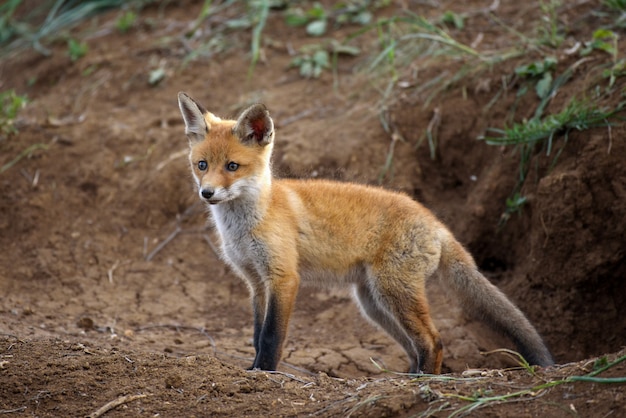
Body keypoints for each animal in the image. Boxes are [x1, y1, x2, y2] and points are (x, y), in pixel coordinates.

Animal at [176, 93, 552, 374]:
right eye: (202, 165)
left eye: (233, 166)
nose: (207, 193)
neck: (250, 221)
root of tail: (435, 221)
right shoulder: (255, 282)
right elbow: (256, 334)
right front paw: (254, 368)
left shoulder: (283, 277)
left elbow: (270, 337)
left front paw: (264, 373)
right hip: (374, 303)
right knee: (415, 345)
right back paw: (409, 377)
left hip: (392, 292)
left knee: (433, 340)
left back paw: (423, 381)